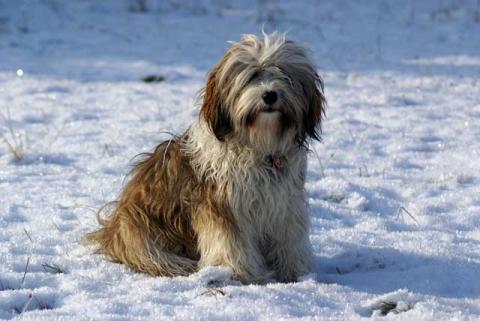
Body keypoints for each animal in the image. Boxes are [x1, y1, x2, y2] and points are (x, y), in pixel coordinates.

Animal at [85, 32, 326, 282]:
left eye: (284, 76)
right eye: (252, 76)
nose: (270, 95)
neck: (261, 148)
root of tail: (111, 229)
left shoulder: (285, 205)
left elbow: (289, 239)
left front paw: (296, 272)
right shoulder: (222, 207)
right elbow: (230, 242)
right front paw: (239, 272)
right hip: (142, 235)